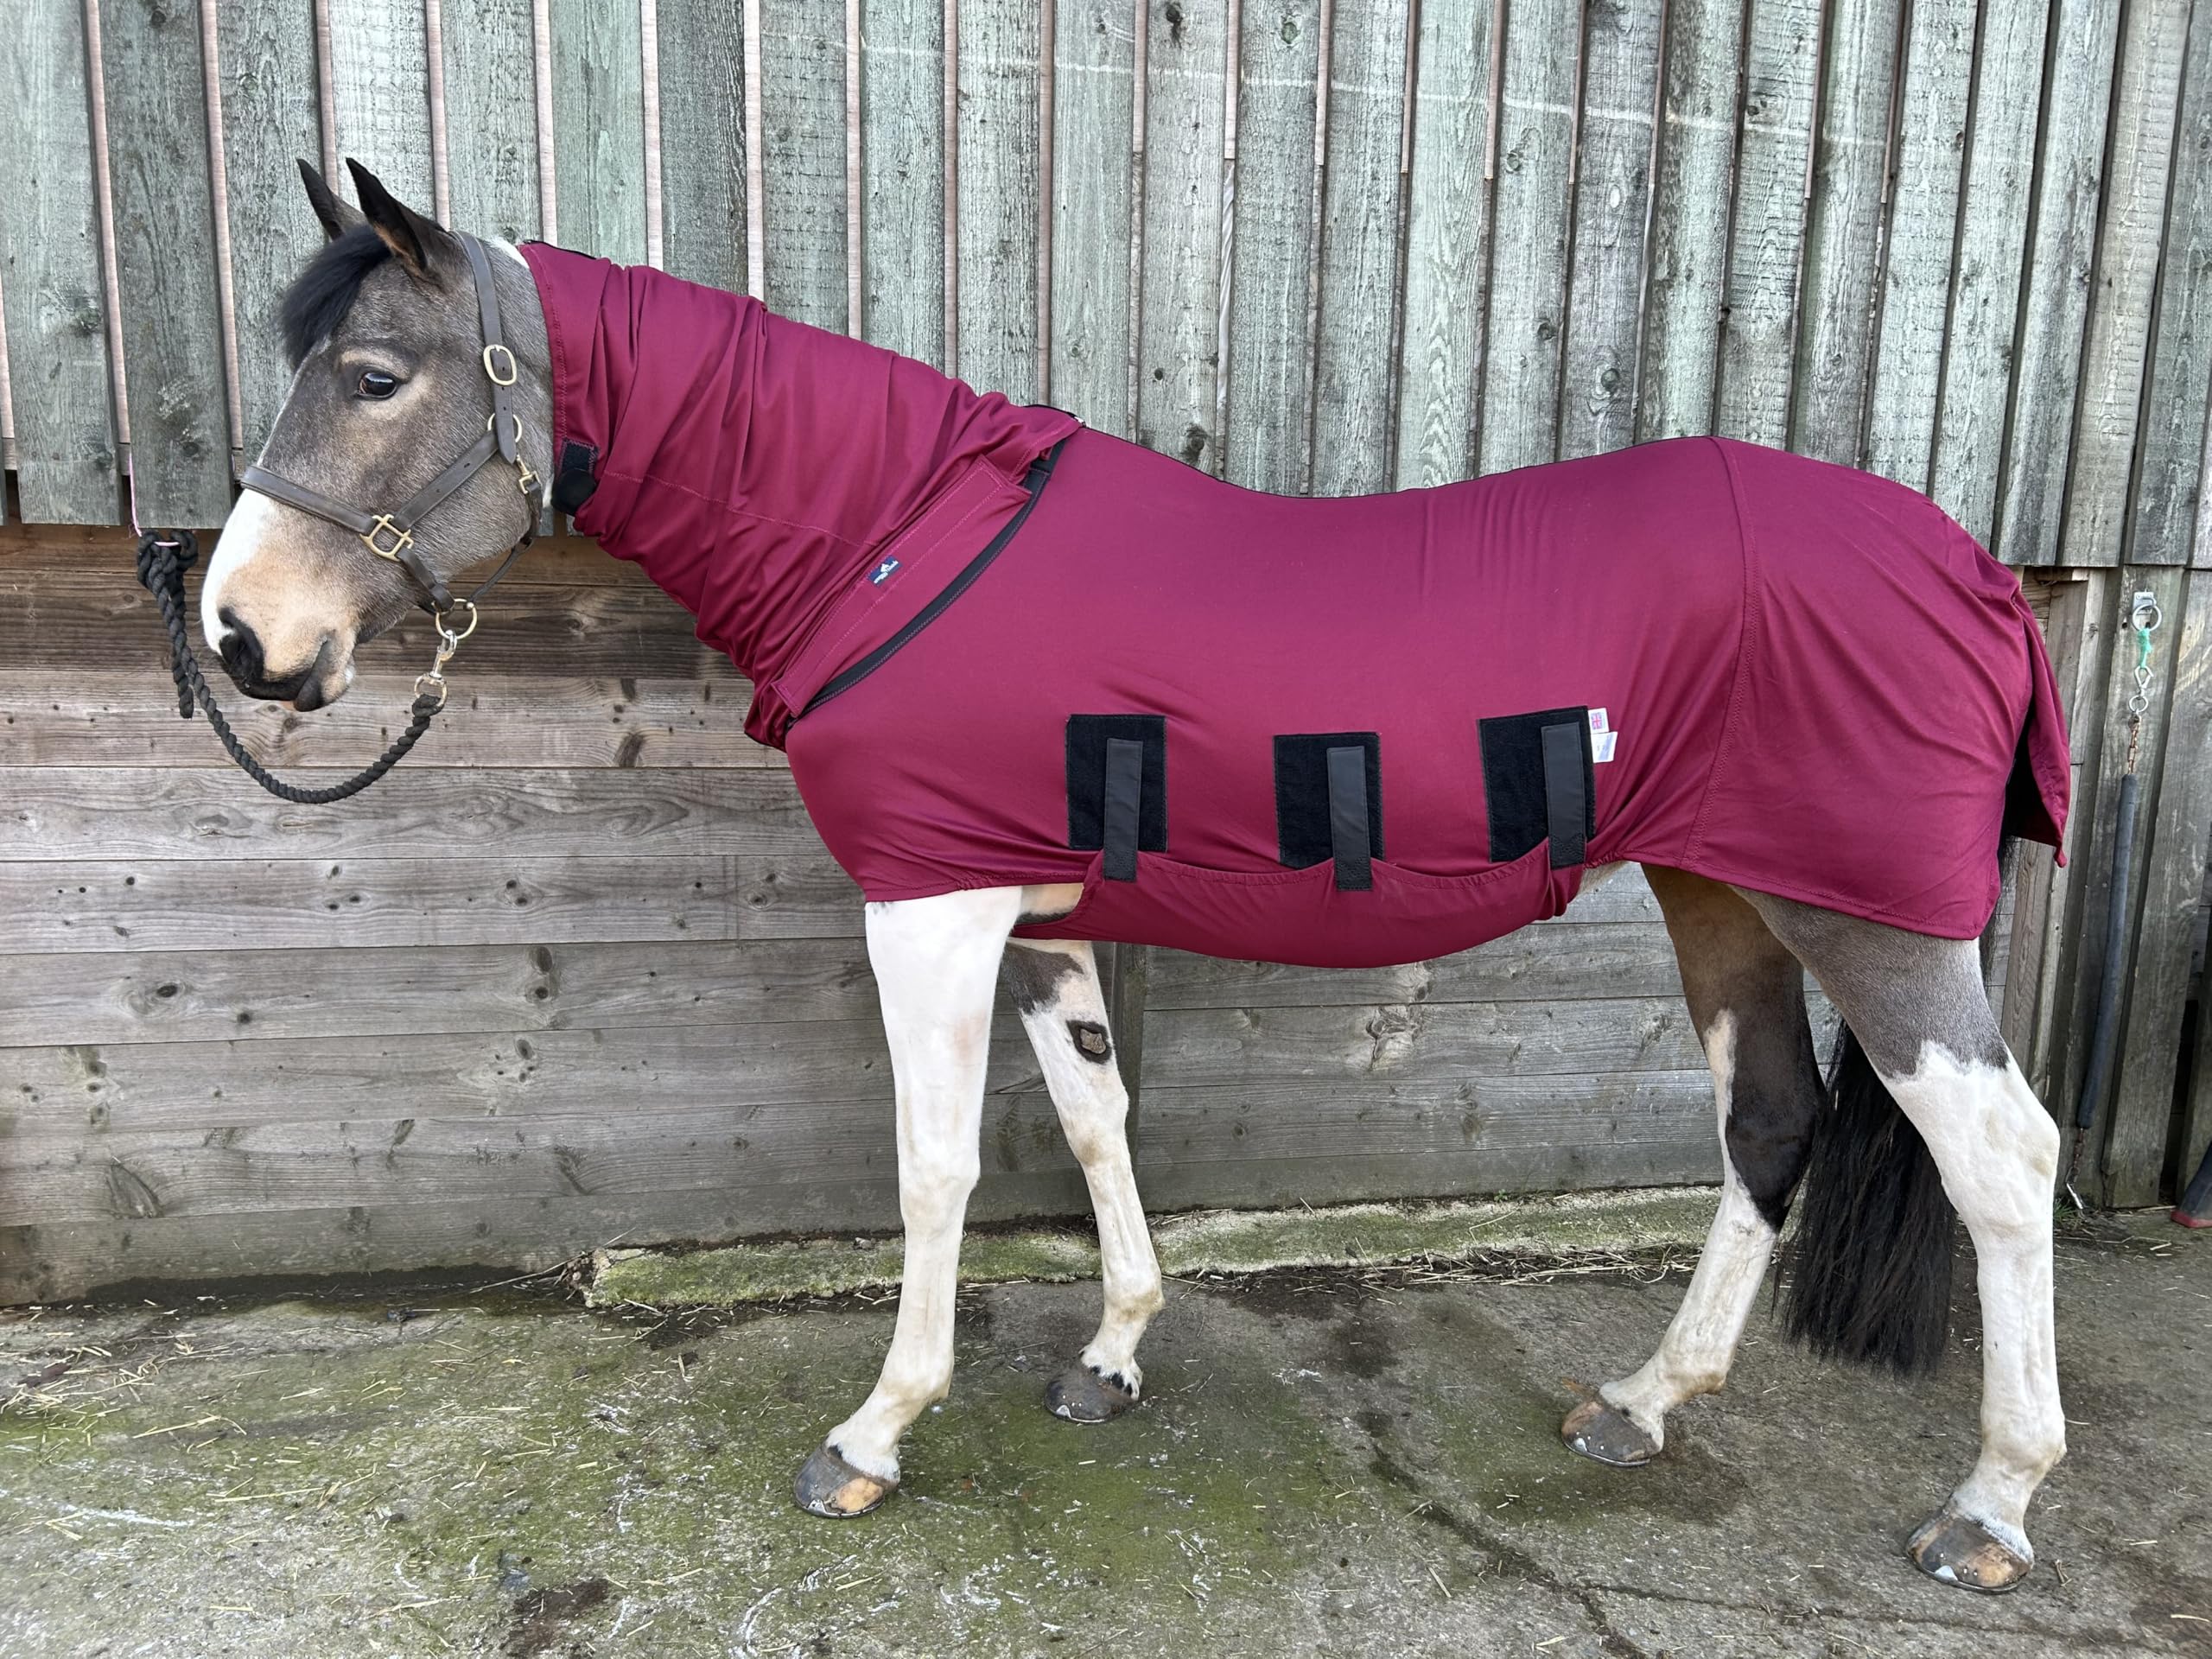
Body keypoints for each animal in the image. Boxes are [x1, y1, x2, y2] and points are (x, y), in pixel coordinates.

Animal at [195, 158, 2072, 1594]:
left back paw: (1988, 1509)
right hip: (1719, 890)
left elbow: (935, 1170)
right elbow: (1095, 1120)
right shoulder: (1032, 923)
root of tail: (1972, 564)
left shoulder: (930, 913)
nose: (238, 636)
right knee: (1768, 1120)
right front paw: (1108, 1353)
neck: (893, 537)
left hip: (1867, 918)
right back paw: (1646, 1401)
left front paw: (874, 1432)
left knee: (1999, 1158)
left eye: (375, 377)